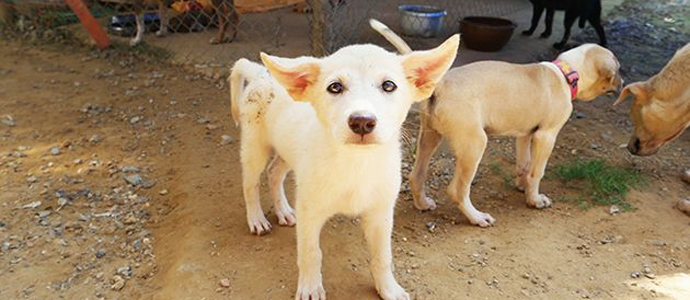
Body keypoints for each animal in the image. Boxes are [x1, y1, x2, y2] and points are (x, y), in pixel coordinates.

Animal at [228, 34, 460, 298]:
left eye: (389, 85)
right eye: (335, 87)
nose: (362, 122)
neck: (356, 164)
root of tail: (259, 73)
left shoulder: (381, 213)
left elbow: (382, 256)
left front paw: (388, 289)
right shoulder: (310, 211)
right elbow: (310, 253)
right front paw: (310, 288)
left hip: (287, 150)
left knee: (274, 173)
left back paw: (284, 211)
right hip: (254, 146)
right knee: (250, 184)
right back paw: (256, 219)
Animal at [370, 19, 624, 226]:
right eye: (619, 69)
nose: (623, 82)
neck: (565, 73)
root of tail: (441, 83)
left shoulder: (526, 134)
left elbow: (525, 164)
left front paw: (522, 186)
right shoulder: (546, 136)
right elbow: (537, 171)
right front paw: (535, 200)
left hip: (430, 137)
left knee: (417, 176)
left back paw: (423, 204)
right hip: (474, 144)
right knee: (457, 190)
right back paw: (477, 217)